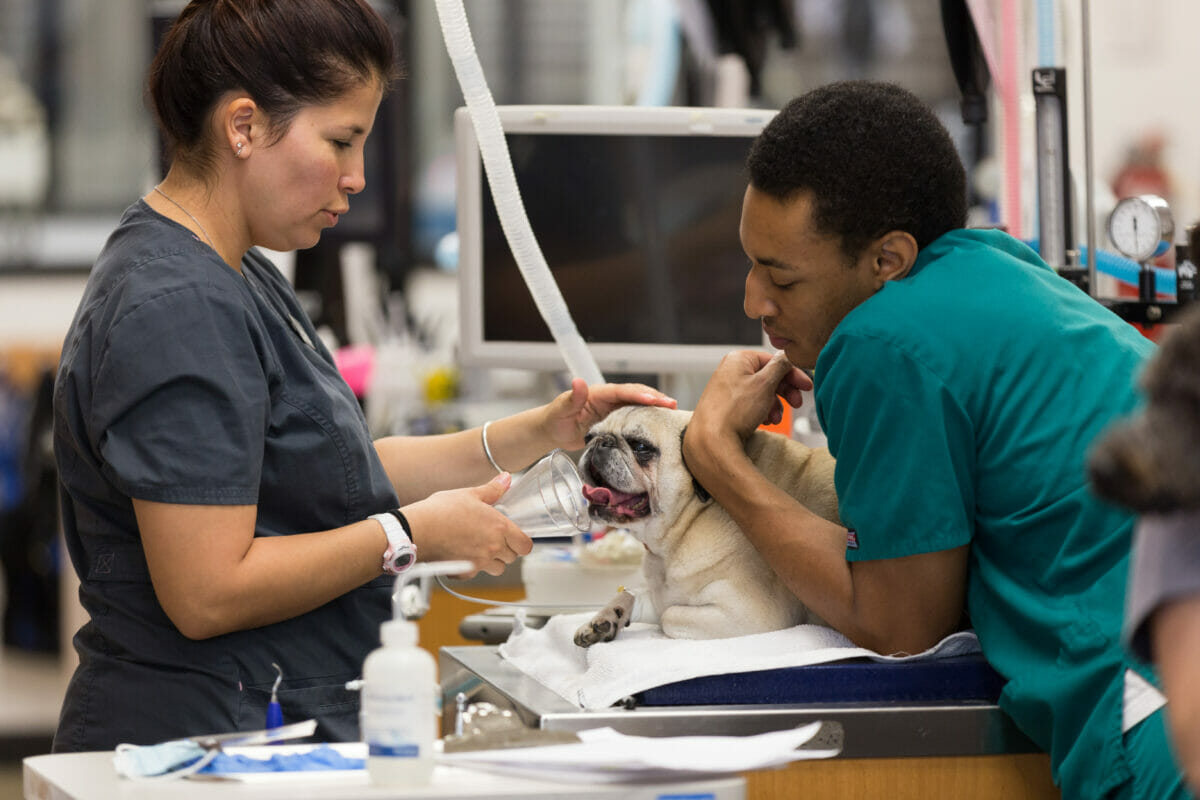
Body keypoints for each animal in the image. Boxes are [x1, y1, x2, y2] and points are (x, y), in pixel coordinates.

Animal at [573, 410, 840, 647]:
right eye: (588, 437)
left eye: (640, 446)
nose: (600, 441)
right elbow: (633, 595)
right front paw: (607, 617)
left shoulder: (750, 614)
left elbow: (668, 614)